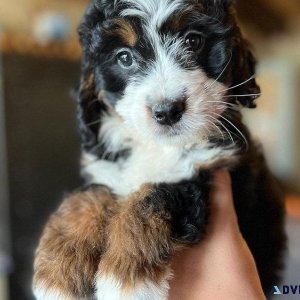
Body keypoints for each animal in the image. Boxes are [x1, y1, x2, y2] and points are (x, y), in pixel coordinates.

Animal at [32, 1, 286, 298]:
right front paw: (57, 274)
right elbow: (84, 198)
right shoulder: (107, 170)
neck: (158, 146)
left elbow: (150, 198)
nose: (167, 111)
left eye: (192, 41)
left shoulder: (207, 170)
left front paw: (125, 279)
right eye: (124, 58)